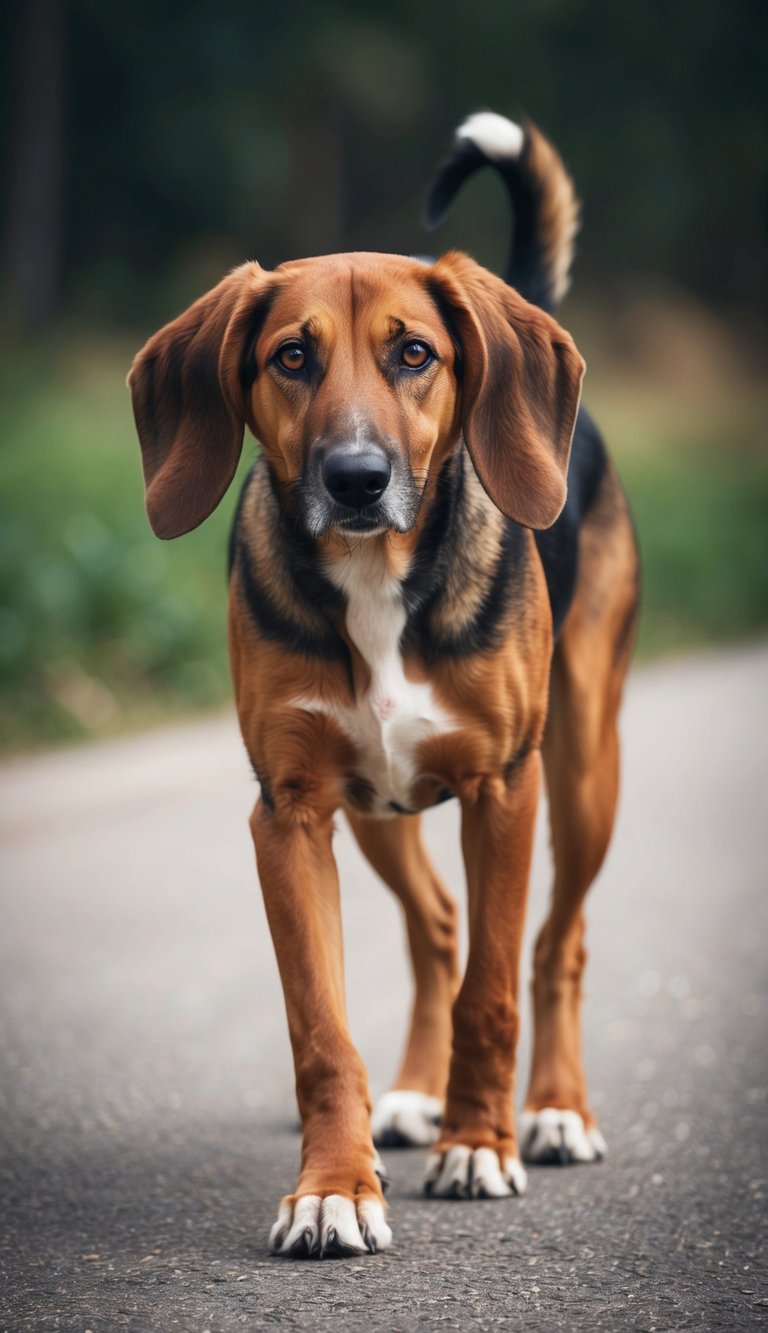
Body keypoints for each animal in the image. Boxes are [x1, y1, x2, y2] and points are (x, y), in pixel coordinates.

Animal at [129, 110, 639, 1258]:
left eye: (416, 354)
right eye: (291, 357)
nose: (356, 479)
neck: (375, 580)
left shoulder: (503, 790)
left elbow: (492, 991)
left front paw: (479, 1146)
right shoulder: (290, 811)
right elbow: (321, 1027)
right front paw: (333, 1185)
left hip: (584, 769)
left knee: (561, 941)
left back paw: (554, 1110)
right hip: (377, 809)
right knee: (437, 922)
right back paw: (413, 1094)